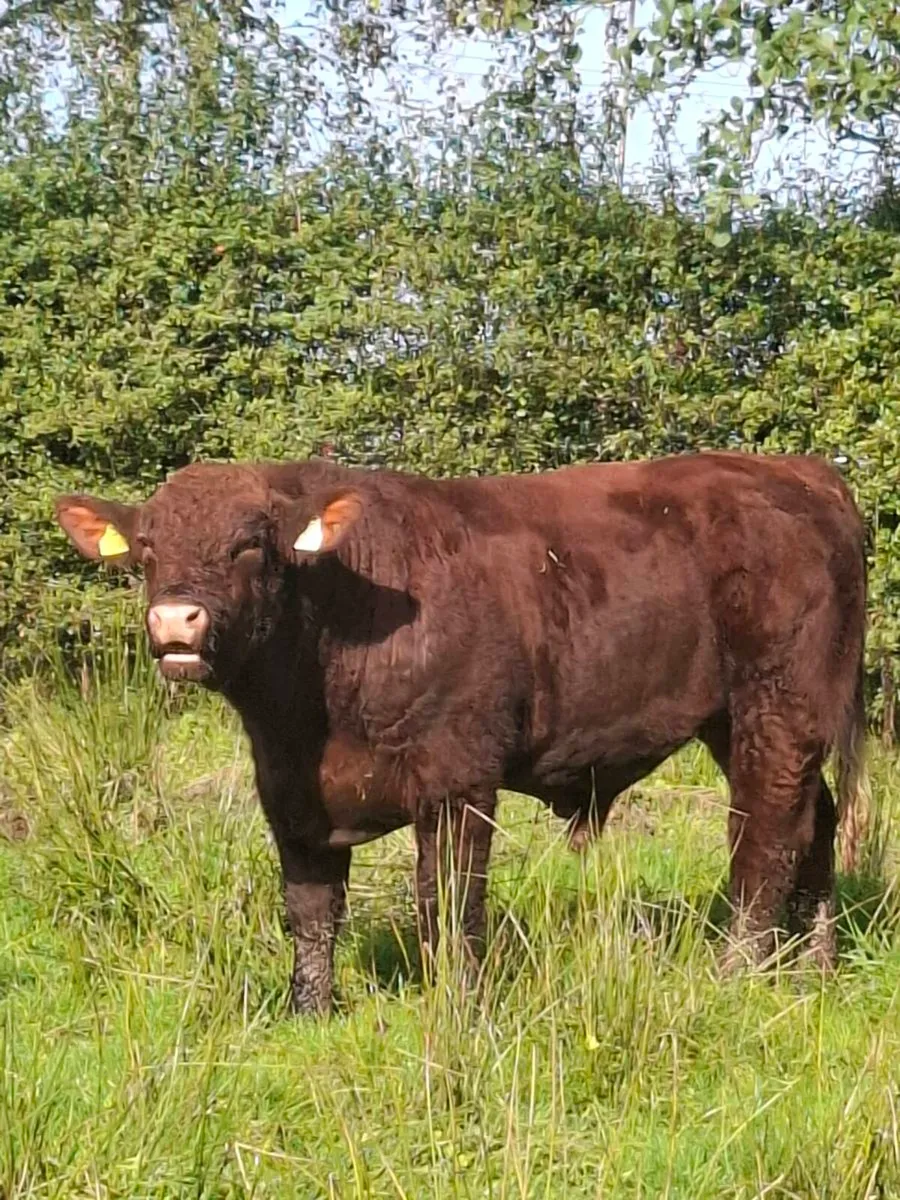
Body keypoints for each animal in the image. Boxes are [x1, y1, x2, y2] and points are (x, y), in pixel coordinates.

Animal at [55, 451, 868, 1013]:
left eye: (249, 546)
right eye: (147, 550)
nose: (175, 622)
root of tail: (800, 472)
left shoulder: (456, 779)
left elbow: (446, 899)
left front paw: (460, 1003)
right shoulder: (288, 795)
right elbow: (311, 911)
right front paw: (309, 1010)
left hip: (776, 704)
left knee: (764, 834)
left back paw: (738, 971)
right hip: (743, 723)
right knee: (814, 820)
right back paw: (814, 965)